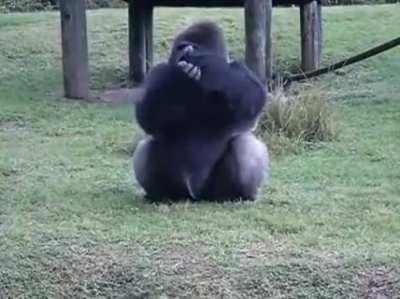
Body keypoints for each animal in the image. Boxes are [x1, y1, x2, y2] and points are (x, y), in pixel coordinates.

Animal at [134, 21, 268, 202]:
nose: (184, 51)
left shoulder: (239, 68)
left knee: (244, 143)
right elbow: (146, 114)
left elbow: (254, 95)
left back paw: (239, 194)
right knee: (148, 145)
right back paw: (160, 194)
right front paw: (177, 77)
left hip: (213, 191)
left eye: (196, 47)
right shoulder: (157, 71)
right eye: (181, 46)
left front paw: (210, 65)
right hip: (181, 188)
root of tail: (195, 195)